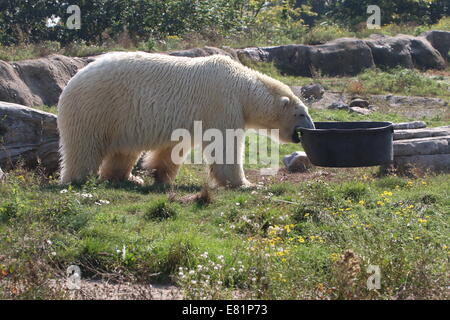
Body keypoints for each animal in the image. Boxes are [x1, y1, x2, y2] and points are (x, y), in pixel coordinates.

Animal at [57, 52, 312, 188]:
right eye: (301, 113)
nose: (309, 128)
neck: (242, 86)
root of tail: (72, 81)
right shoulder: (222, 103)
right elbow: (225, 144)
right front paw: (246, 184)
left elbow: (173, 147)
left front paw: (160, 176)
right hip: (97, 107)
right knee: (84, 147)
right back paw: (78, 178)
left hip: (120, 119)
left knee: (123, 151)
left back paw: (128, 178)